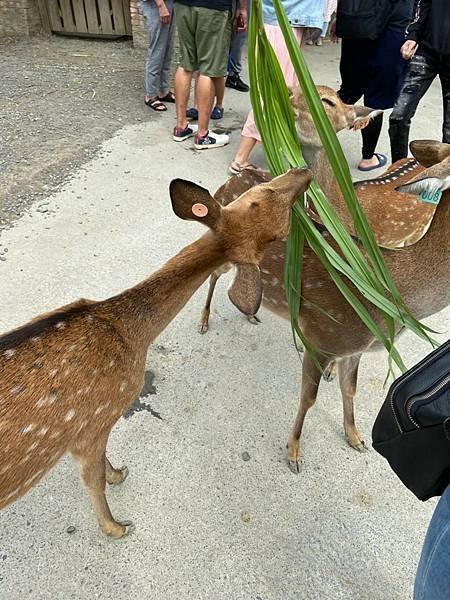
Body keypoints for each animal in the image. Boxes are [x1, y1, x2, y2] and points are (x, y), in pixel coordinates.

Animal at [0, 169, 312, 540]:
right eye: (258, 194)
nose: (303, 172)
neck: (131, 335)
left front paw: (117, 476)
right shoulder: (94, 420)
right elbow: (93, 480)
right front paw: (116, 524)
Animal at [200, 86, 450, 476]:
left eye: (330, 102)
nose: (285, 95)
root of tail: (235, 178)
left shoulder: (353, 347)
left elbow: (351, 390)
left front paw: (356, 437)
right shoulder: (321, 336)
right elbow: (309, 397)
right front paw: (293, 454)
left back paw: (252, 314)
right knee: (212, 276)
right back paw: (205, 320)